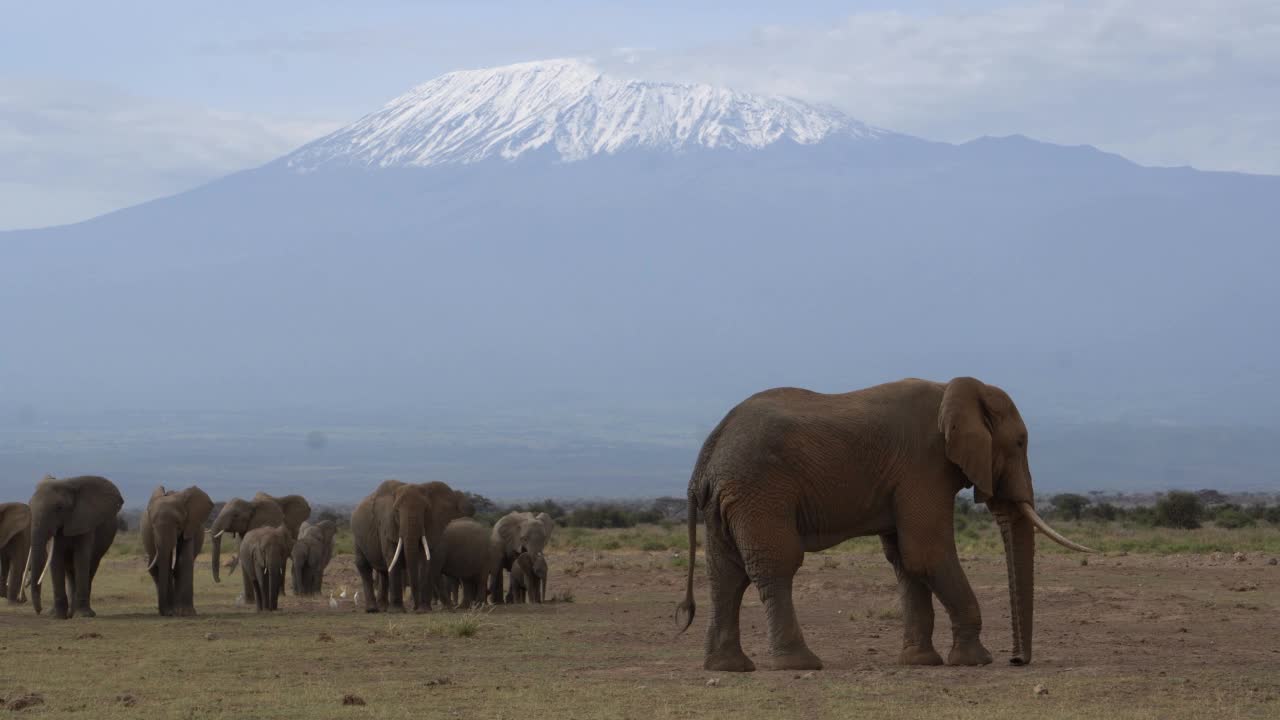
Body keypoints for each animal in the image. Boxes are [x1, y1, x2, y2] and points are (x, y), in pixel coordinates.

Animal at [26, 474, 122, 614]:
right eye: (29, 506)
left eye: (59, 508)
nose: (39, 611)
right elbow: (56, 558)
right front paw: (57, 615)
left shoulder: (85, 521)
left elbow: (81, 558)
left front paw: (83, 615)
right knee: (70, 572)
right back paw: (66, 612)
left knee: (89, 569)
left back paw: (81, 611)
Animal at [141, 484, 213, 614]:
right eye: (152, 527)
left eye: (178, 525)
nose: (166, 613)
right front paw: (173, 612)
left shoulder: (190, 524)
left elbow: (184, 558)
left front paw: (186, 613)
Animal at [675, 379, 1095, 671]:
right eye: (1021, 442)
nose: (1017, 660)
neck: (954, 389)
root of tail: (708, 453)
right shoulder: (924, 465)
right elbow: (927, 553)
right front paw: (976, 660)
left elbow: (907, 560)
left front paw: (921, 662)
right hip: (759, 489)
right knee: (776, 565)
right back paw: (800, 664)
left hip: (728, 500)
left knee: (726, 576)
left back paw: (729, 668)